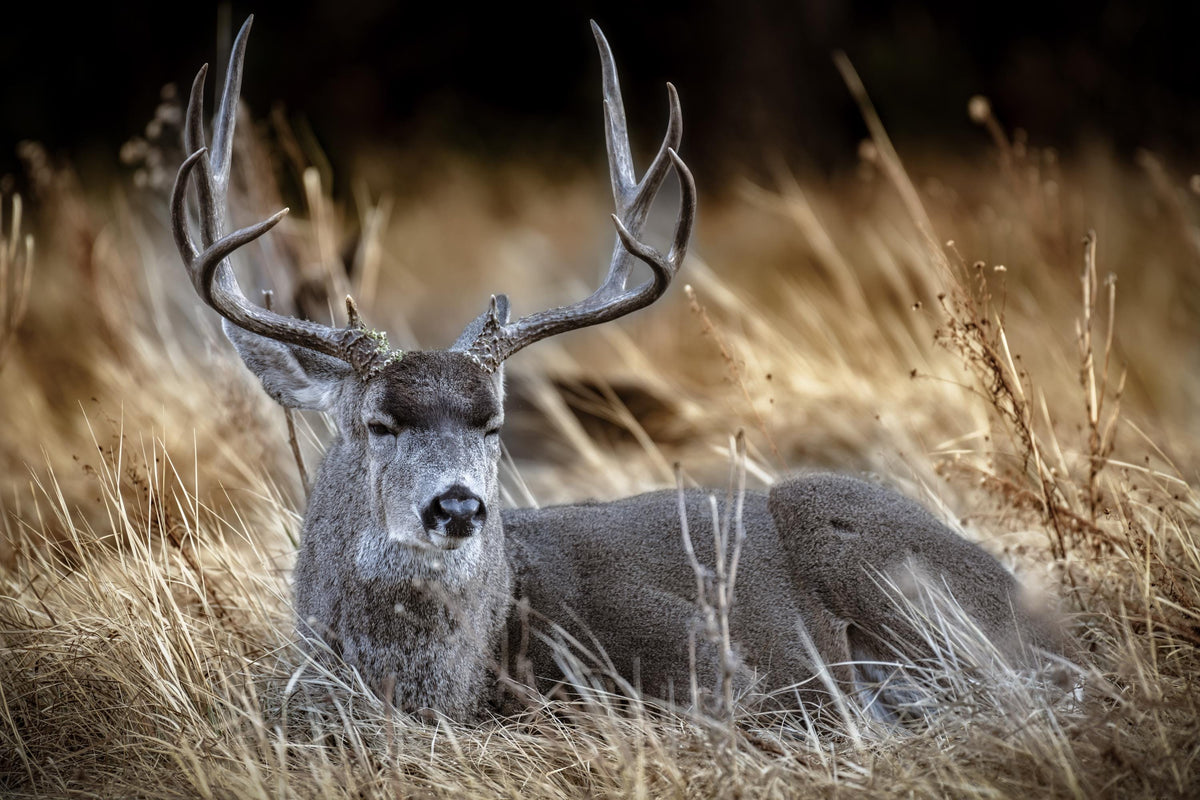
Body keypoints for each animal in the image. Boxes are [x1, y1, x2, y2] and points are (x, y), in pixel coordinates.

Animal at [171, 16, 1069, 723]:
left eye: (492, 423)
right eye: (378, 423)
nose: (457, 505)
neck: (458, 685)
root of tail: (1028, 601)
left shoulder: (719, 665)